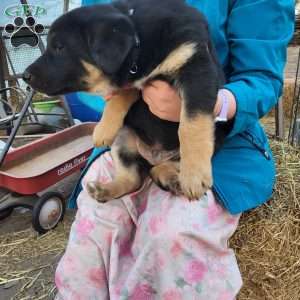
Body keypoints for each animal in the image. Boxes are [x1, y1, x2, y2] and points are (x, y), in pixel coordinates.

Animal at [24, 0, 231, 202]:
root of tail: (154, 156)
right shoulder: (132, 79)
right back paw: (104, 189)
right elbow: (120, 95)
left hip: (216, 137)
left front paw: (194, 177)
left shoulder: (194, 66)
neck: (139, 41)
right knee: (133, 178)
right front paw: (103, 129)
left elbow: (191, 125)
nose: (25, 76)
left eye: (59, 48)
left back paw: (174, 179)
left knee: (163, 166)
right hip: (123, 138)